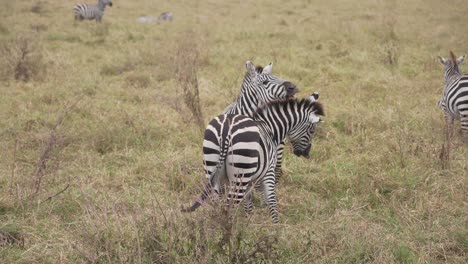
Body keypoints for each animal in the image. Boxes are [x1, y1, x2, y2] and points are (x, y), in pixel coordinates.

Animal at [184, 93, 326, 223]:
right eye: (312, 131)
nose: (306, 154)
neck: (270, 128)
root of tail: (226, 130)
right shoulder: (268, 171)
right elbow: (271, 199)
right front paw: (275, 228)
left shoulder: (249, 179)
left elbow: (248, 203)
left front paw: (248, 222)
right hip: (239, 173)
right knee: (230, 206)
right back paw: (230, 232)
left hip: (212, 167)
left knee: (217, 202)